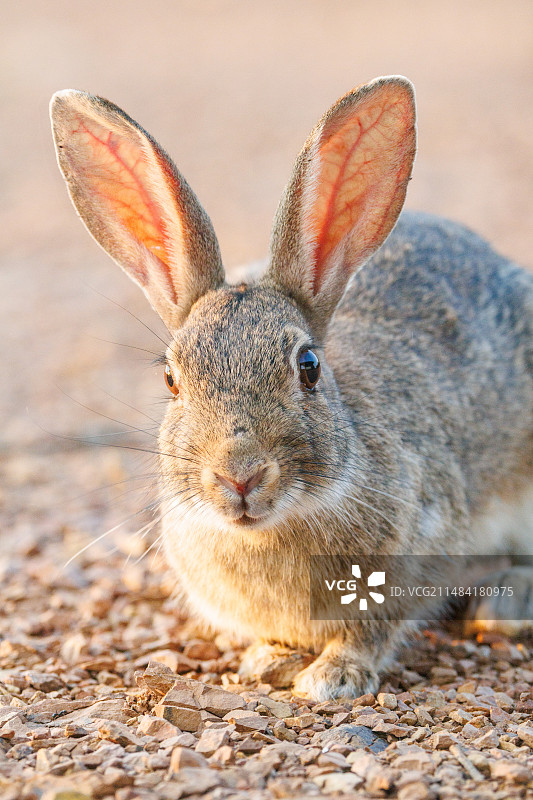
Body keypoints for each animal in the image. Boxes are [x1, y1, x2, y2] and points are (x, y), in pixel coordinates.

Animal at [50, 76, 532, 700]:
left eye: (308, 367)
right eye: (170, 377)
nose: (240, 477)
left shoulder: (420, 547)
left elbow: (373, 628)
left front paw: (333, 676)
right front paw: (267, 660)